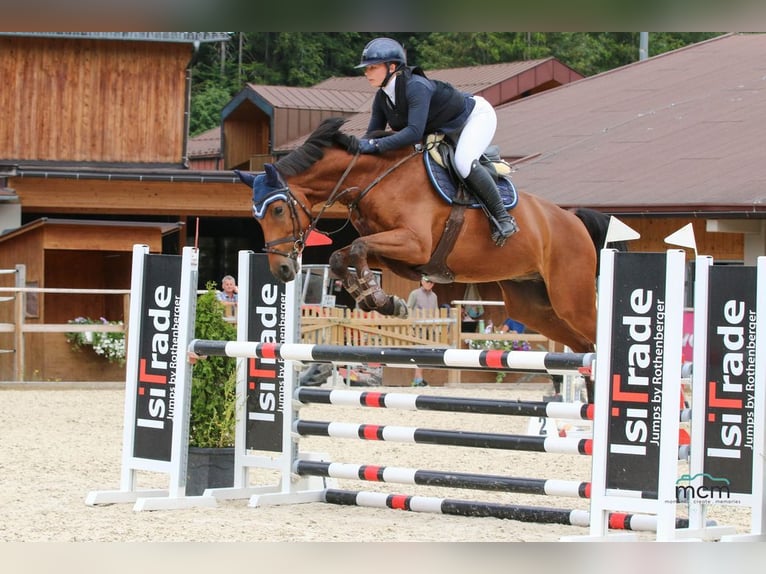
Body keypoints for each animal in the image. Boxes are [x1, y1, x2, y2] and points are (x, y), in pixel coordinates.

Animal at [234, 118, 612, 364]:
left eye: (278, 209)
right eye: (256, 216)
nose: (282, 270)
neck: (375, 177)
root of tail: (573, 220)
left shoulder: (414, 243)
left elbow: (356, 248)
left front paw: (377, 297)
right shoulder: (400, 253)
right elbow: (344, 255)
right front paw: (380, 300)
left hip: (570, 297)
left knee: (593, 337)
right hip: (532, 304)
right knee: (583, 345)